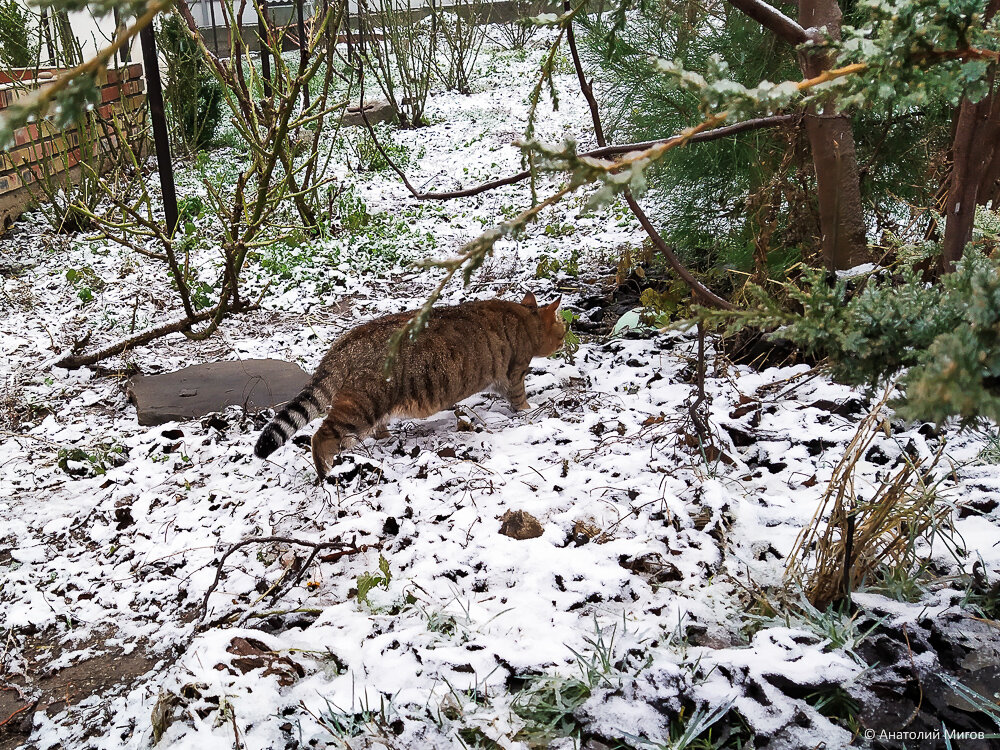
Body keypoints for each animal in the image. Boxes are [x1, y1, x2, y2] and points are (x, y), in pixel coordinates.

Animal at [254, 292, 568, 476]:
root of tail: (344, 343)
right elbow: (520, 398)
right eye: (563, 328)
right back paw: (325, 473)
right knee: (322, 436)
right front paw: (530, 410)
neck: (525, 318)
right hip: (362, 404)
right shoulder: (514, 373)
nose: (567, 338)